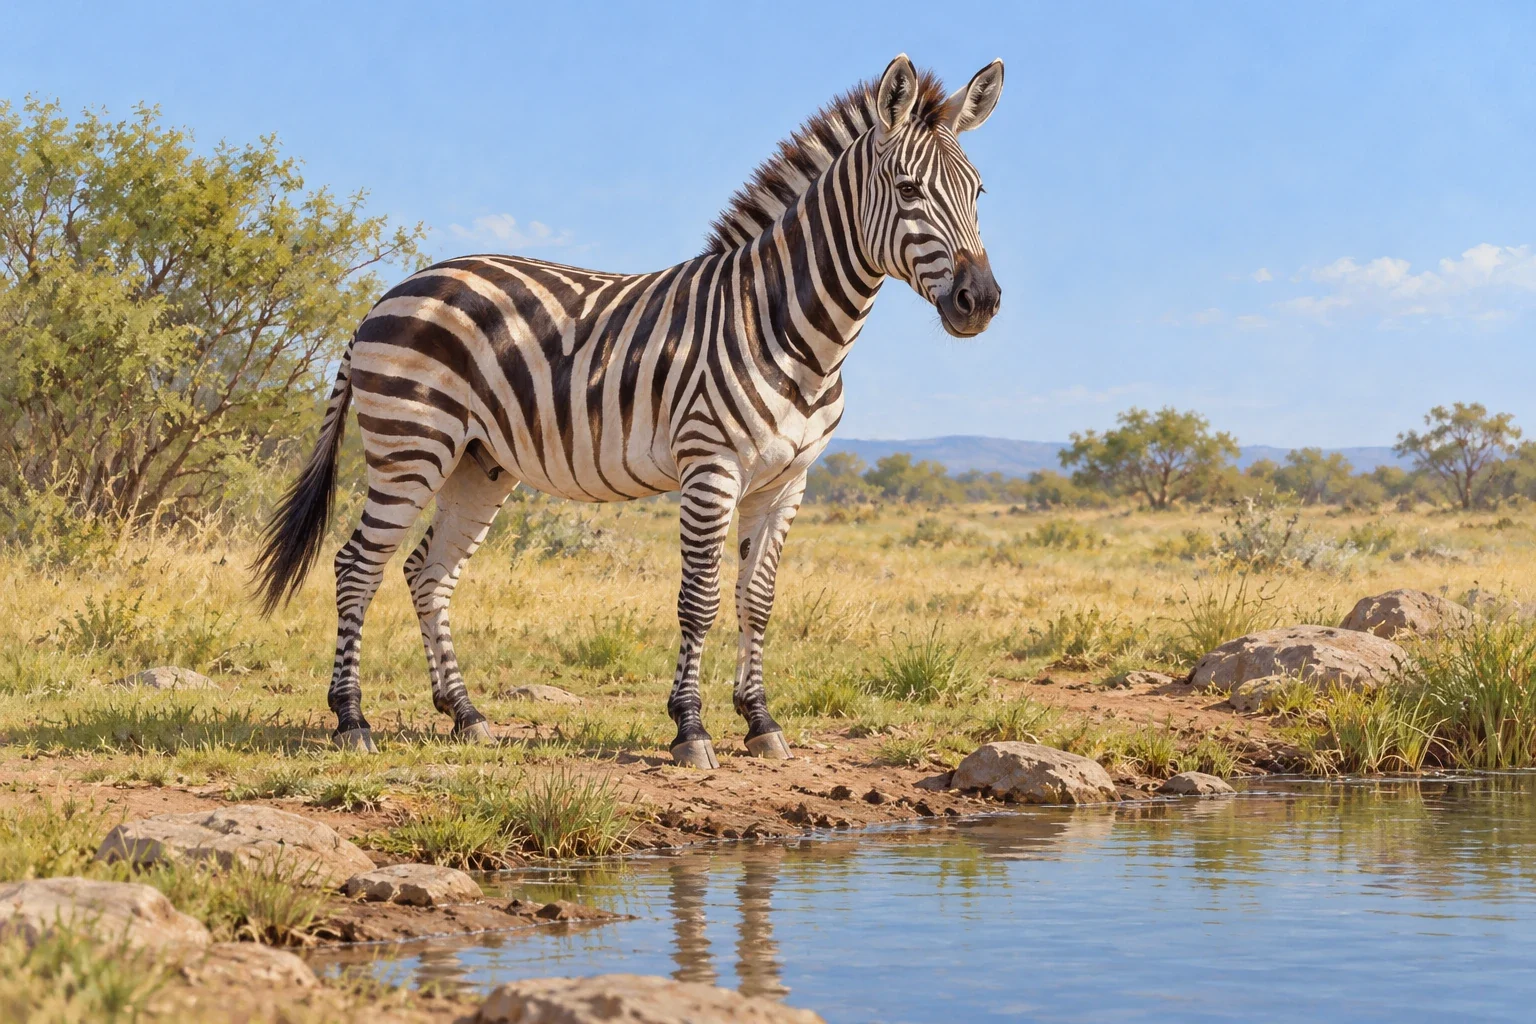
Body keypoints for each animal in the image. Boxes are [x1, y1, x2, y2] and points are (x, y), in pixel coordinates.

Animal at [253, 54, 1004, 767]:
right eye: (909, 190)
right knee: (357, 565)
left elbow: (757, 601)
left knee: (426, 573)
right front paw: (690, 729)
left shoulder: (788, 481)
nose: (982, 302)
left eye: (977, 192)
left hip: (478, 462)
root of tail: (387, 295)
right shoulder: (711, 466)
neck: (792, 330)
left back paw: (465, 714)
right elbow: (699, 601)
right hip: (411, 446)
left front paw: (760, 722)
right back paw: (352, 719)